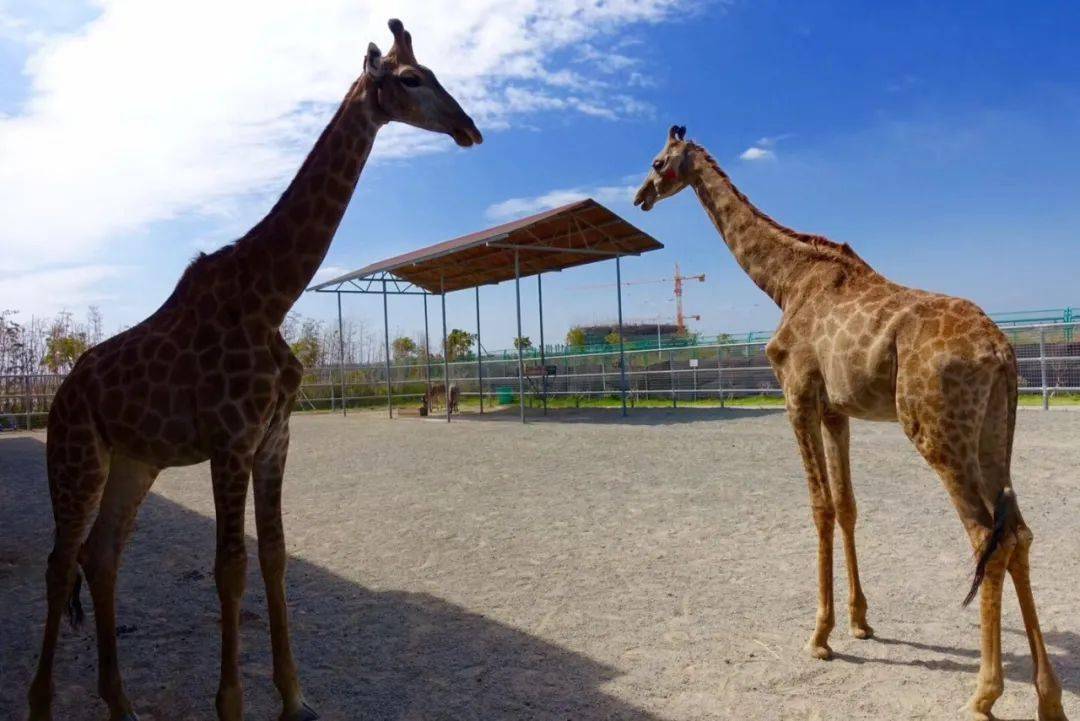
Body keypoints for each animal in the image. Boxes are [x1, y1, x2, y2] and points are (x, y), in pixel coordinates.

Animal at [26, 18, 481, 721]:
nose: (468, 127)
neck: (272, 296)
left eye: (432, 73)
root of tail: (59, 395)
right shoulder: (230, 441)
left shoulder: (274, 440)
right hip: (76, 458)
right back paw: (44, 703)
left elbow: (275, 557)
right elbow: (230, 568)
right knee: (58, 563)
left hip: (133, 461)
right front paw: (231, 703)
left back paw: (121, 703)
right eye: (410, 79)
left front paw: (295, 697)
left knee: (102, 558)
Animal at [630, 126, 1062, 721]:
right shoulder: (837, 410)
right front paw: (859, 621)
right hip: (995, 432)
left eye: (657, 161)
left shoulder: (797, 395)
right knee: (1017, 532)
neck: (784, 281)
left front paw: (819, 636)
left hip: (936, 430)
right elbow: (848, 505)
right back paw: (1049, 697)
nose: (639, 197)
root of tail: (1003, 351)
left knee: (983, 536)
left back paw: (984, 693)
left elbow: (820, 507)